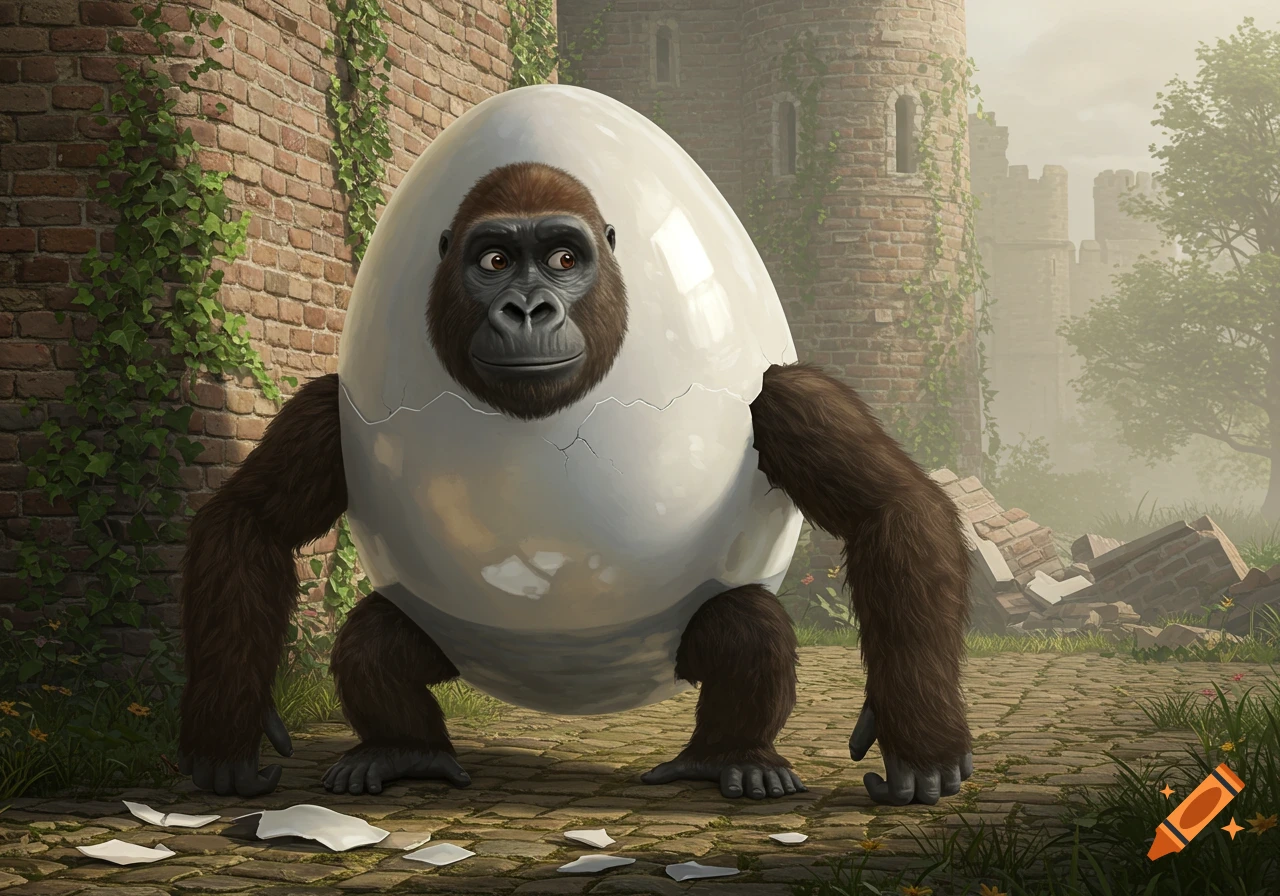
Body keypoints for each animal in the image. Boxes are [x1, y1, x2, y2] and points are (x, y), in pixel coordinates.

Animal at [177, 162, 973, 807]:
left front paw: (920, 741)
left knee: (745, 623)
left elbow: (890, 509)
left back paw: (731, 759)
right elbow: (250, 522)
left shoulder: (788, 398)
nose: (528, 308)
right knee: (377, 639)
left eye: (564, 258)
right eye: (495, 260)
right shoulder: (327, 408)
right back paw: (403, 751)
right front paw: (227, 730)